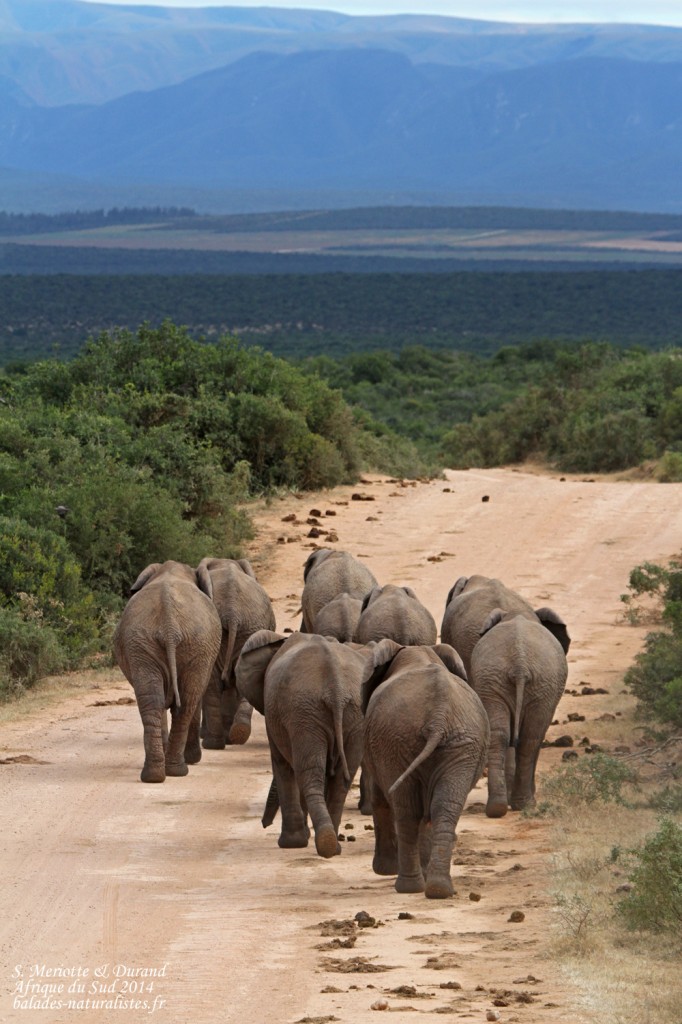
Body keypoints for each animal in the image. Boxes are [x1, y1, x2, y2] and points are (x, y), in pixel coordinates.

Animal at [113, 560, 222, 783]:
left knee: (156, 701)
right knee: (185, 703)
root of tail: (169, 624)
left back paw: (155, 775)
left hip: (147, 644)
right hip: (191, 644)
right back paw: (178, 768)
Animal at [234, 629, 401, 858]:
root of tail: (335, 687)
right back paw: (332, 845)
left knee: (308, 772)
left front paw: (293, 842)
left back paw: (309, 843)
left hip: (304, 714)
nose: (264, 824)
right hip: (349, 716)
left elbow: (283, 765)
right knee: (339, 778)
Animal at [361, 644, 489, 899]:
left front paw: (384, 869)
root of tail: (438, 718)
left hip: (397, 742)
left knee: (408, 811)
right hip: (456, 745)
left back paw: (410, 887)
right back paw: (438, 888)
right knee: (443, 807)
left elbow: (379, 796)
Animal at [470, 609, 570, 817]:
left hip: (493, 680)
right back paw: (526, 804)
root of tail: (520, 664)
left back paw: (497, 808)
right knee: (530, 738)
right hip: (540, 685)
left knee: (501, 735)